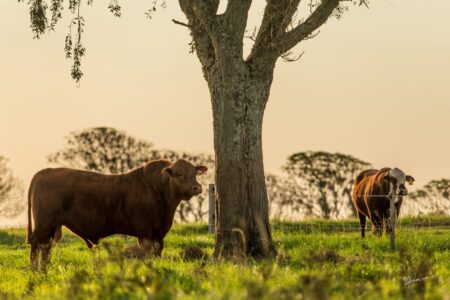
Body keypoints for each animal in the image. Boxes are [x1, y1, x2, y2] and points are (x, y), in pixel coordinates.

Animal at [29, 159, 208, 270]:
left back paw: (43, 269)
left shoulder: (158, 232)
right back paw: (35, 270)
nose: (197, 187)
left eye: (194, 173)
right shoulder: (145, 231)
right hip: (44, 224)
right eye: (179, 174)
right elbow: (146, 251)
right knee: (36, 246)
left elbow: (157, 251)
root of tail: (46, 171)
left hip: (51, 226)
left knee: (45, 247)